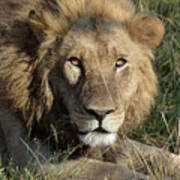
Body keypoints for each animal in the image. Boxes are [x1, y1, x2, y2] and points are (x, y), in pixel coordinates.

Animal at [0, 0, 163, 173]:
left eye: (120, 62)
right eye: (74, 61)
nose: (100, 113)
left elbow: (157, 154)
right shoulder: (35, 159)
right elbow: (117, 171)